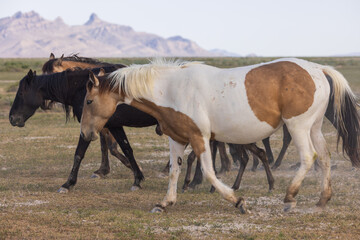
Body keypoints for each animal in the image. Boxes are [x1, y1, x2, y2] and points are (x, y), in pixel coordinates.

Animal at [80, 58, 358, 214]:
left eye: (89, 101)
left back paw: (290, 198)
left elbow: (210, 173)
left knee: (309, 157)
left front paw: (238, 201)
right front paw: (165, 203)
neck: (170, 89)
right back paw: (322, 200)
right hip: (314, 127)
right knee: (325, 158)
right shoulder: (177, 138)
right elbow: (174, 171)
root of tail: (319, 69)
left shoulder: (200, 138)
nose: (86, 133)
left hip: (298, 126)